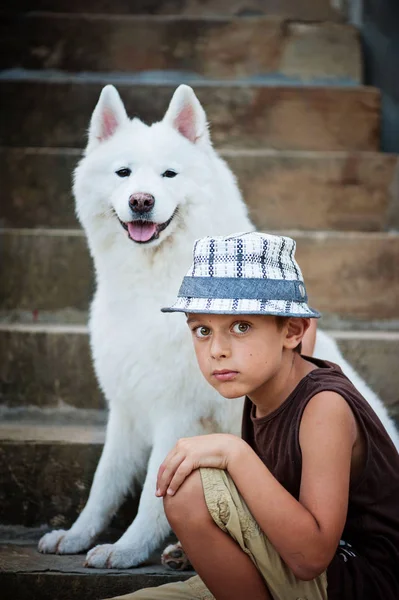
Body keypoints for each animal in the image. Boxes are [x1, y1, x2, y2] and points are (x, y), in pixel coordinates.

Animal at [38, 83, 399, 568]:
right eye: (123, 173)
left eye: (169, 174)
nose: (141, 201)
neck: (154, 280)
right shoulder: (127, 406)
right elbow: (105, 482)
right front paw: (77, 536)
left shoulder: (177, 412)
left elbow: (153, 490)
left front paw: (127, 548)